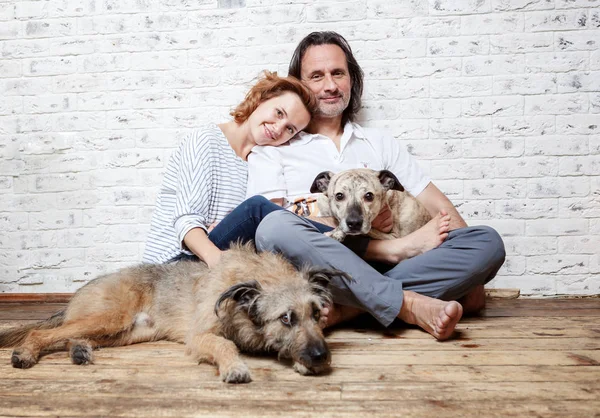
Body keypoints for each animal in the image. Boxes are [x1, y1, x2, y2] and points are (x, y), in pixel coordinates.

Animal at [0, 243, 352, 384]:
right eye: (286, 318)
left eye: (317, 314)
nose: (322, 357)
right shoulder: (200, 336)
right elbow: (225, 344)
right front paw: (234, 367)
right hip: (111, 318)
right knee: (45, 332)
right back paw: (27, 353)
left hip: (127, 332)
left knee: (70, 336)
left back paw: (79, 351)